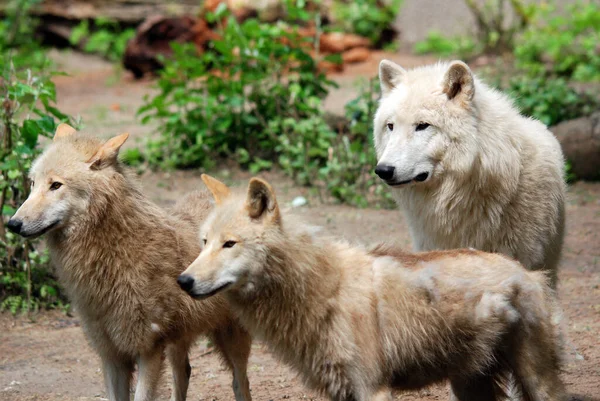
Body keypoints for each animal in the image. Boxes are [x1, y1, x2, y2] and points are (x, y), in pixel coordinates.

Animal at [9, 125, 253, 400]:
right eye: (33, 183)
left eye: (56, 185)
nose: (13, 224)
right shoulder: (111, 356)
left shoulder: (147, 349)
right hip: (178, 343)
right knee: (184, 373)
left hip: (231, 339)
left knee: (240, 382)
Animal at [178, 174, 568, 400]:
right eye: (204, 242)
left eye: (229, 244)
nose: (184, 281)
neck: (322, 289)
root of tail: (528, 272)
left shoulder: (373, 389)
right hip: (469, 386)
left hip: (537, 381)